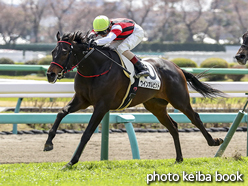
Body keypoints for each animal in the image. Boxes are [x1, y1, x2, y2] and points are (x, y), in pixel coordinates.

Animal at [44, 30, 225, 169]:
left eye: (65, 52)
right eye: (53, 52)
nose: (50, 74)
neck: (96, 68)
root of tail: (177, 67)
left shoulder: (102, 105)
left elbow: (87, 133)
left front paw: (71, 161)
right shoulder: (82, 100)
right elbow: (61, 113)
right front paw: (48, 144)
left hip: (180, 100)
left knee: (195, 118)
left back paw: (214, 141)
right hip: (155, 106)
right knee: (173, 126)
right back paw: (179, 158)